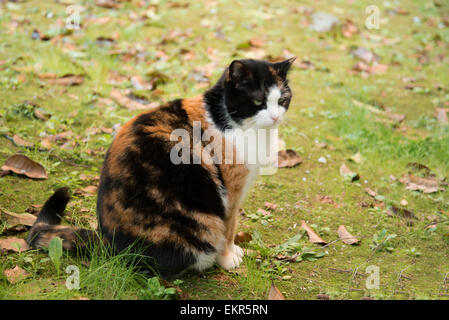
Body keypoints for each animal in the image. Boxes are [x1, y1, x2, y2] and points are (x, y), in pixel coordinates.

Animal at [27, 57, 294, 278]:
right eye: (258, 101)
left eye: (282, 100)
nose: (275, 117)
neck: (224, 119)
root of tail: (108, 242)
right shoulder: (231, 191)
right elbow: (229, 227)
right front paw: (228, 258)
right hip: (200, 224)